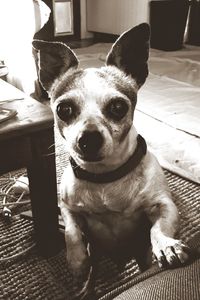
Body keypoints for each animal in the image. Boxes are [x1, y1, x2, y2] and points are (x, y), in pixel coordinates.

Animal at [32, 23, 189, 278]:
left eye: (118, 107)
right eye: (64, 109)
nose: (88, 139)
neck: (105, 177)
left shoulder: (163, 205)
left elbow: (158, 228)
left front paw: (166, 245)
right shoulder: (67, 209)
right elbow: (72, 233)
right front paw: (77, 260)